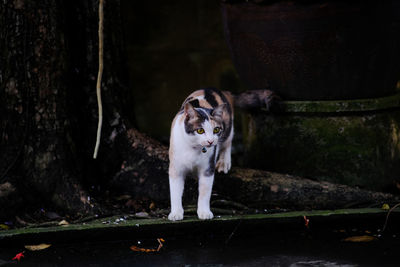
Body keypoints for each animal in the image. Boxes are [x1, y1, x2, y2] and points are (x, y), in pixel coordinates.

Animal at [167, 88, 233, 222]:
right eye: (200, 130)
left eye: (216, 130)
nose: (211, 141)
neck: (193, 148)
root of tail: (210, 88)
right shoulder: (176, 168)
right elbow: (175, 192)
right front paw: (176, 213)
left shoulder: (207, 168)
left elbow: (205, 192)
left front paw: (204, 212)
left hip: (228, 127)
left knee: (228, 141)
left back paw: (224, 162)